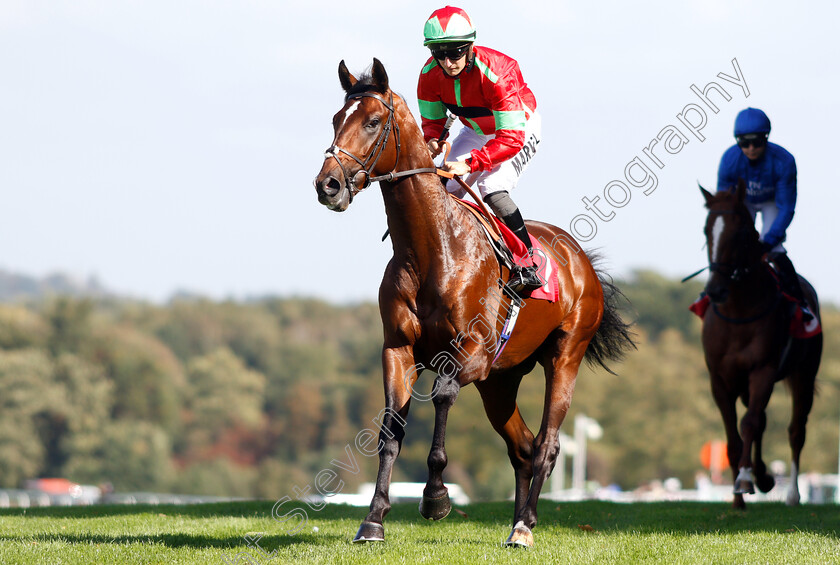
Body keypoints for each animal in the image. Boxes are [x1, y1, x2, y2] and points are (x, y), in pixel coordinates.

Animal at [316, 58, 636, 548]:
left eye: (371, 122)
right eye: (336, 119)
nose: (328, 185)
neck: (432, 250)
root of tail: (581, 258)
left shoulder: (472, 355)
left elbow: (443, 396)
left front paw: (435, 498)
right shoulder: (399, 350)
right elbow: (391, 430)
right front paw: (373, 520)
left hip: (564, 355)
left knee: (546, 444)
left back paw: (523, 526)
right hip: (501, 381)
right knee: (522, 446)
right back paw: (520, 519)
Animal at [700, 183, 824, 508]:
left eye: (741, 232)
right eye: (707, 229)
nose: (715, 290)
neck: (738, 313)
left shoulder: (763, 370)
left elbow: (749, 424)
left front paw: (745, 480)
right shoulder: (720, 379)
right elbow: (733, 437)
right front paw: (738, 499)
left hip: (804, 375)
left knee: (795, 430)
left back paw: (791, 494)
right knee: (764, 421)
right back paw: (764, 476)